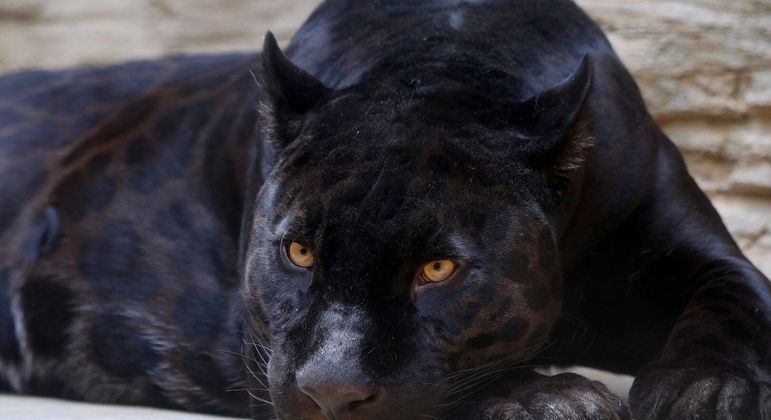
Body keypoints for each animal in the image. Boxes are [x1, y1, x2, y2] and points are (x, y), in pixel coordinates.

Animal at [1, 0, 769, 419]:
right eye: (299, 252)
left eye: (438, 269)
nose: (331, 392)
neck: (445, 56)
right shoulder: (259, 346)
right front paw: (549, 398)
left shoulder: (696, 250)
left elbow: (738, 304)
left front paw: (704, 391)